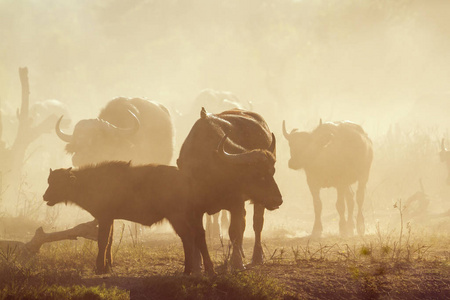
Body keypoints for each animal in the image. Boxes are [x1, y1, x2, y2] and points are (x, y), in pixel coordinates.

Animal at [42, 162, 195, 274]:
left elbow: (102, 242)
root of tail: (185, 177)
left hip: (176, 217)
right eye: (49, 181)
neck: (90, 182)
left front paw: (99, 268)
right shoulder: (110, 219)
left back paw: (187, 270)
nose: (45, 196)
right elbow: (110, 241)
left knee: (187, 239)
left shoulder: (104, 218)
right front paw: (108, 266)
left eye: (59, 183)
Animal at [178, 107, 284, 272]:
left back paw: (257, 257)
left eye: (272, 171)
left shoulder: (236, 204)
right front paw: (196, 265)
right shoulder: (192, 206)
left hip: (258, 202)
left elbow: (234, 231)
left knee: (257, 224)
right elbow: (195, 233)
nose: (277, 199)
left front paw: (237, 263)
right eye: (256, 174)